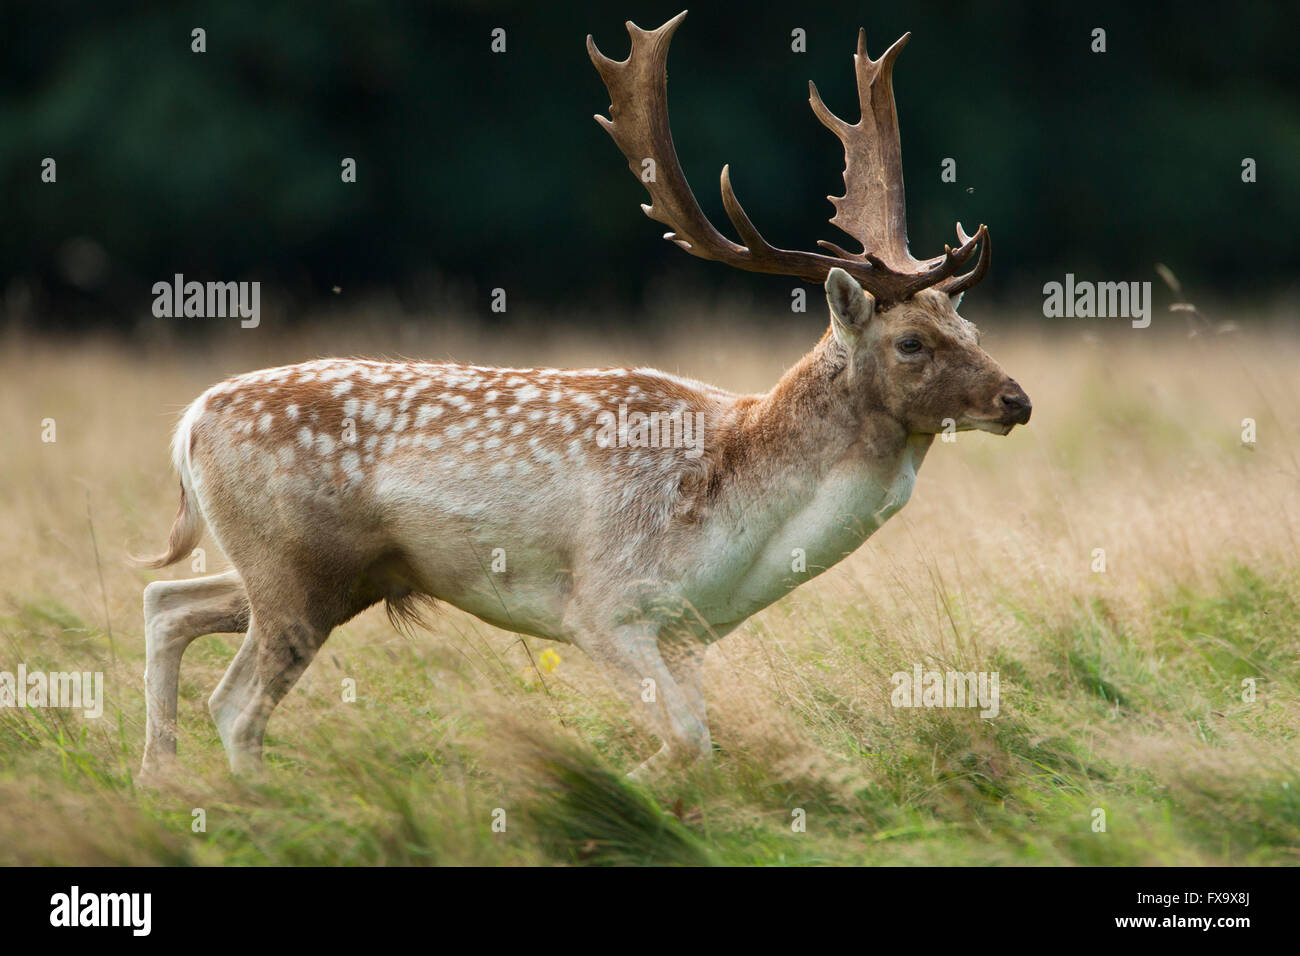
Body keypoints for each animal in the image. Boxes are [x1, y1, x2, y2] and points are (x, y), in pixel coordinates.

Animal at [131, 11, 1024, 780]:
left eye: (969, 325)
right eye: (912, 342)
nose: (1016, 399)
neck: (738, 526)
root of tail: (190, 420)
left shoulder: (685, 635)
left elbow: (701, 745)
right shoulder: (603, 604)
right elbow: (685, 741)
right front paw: (605, 791)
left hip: (319, 572)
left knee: (166, 600)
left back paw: (158, 782)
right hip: (297, 571)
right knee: (233, 703)